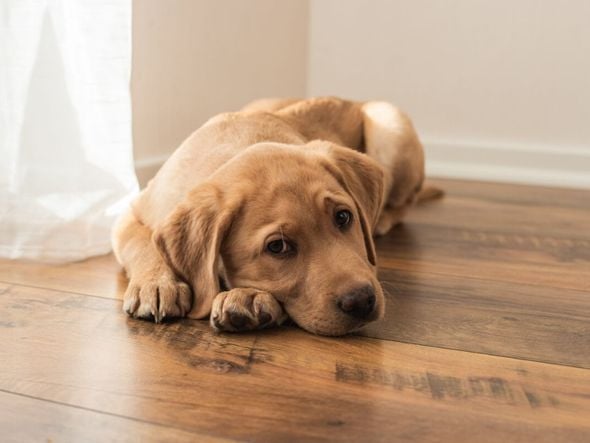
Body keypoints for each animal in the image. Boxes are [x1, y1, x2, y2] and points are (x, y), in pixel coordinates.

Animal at [113, 95, 438, 334]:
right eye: (277, 247)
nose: (361, 301)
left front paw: (247, 297)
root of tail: (354, 99)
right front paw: (156, 285)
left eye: (343, 217)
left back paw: (381, 220)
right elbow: (143, 244)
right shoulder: (128, 216)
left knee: (404, 201)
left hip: (389, 123)